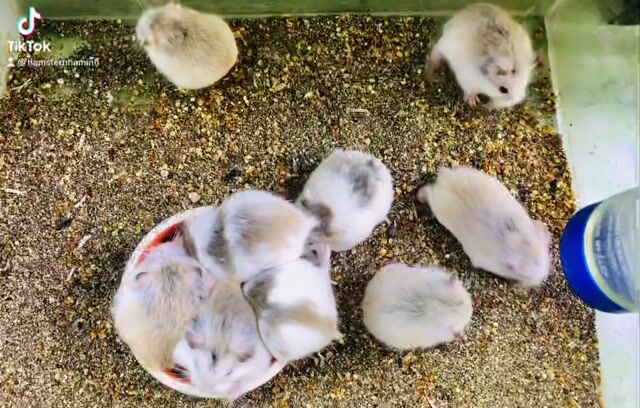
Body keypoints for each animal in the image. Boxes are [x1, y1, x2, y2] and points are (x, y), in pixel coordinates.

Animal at [417, 166, 551, 287]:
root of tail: (445, 179)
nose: (541, 277)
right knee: (427, 191)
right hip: (436, 204)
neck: (510, 244)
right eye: (520, 273)